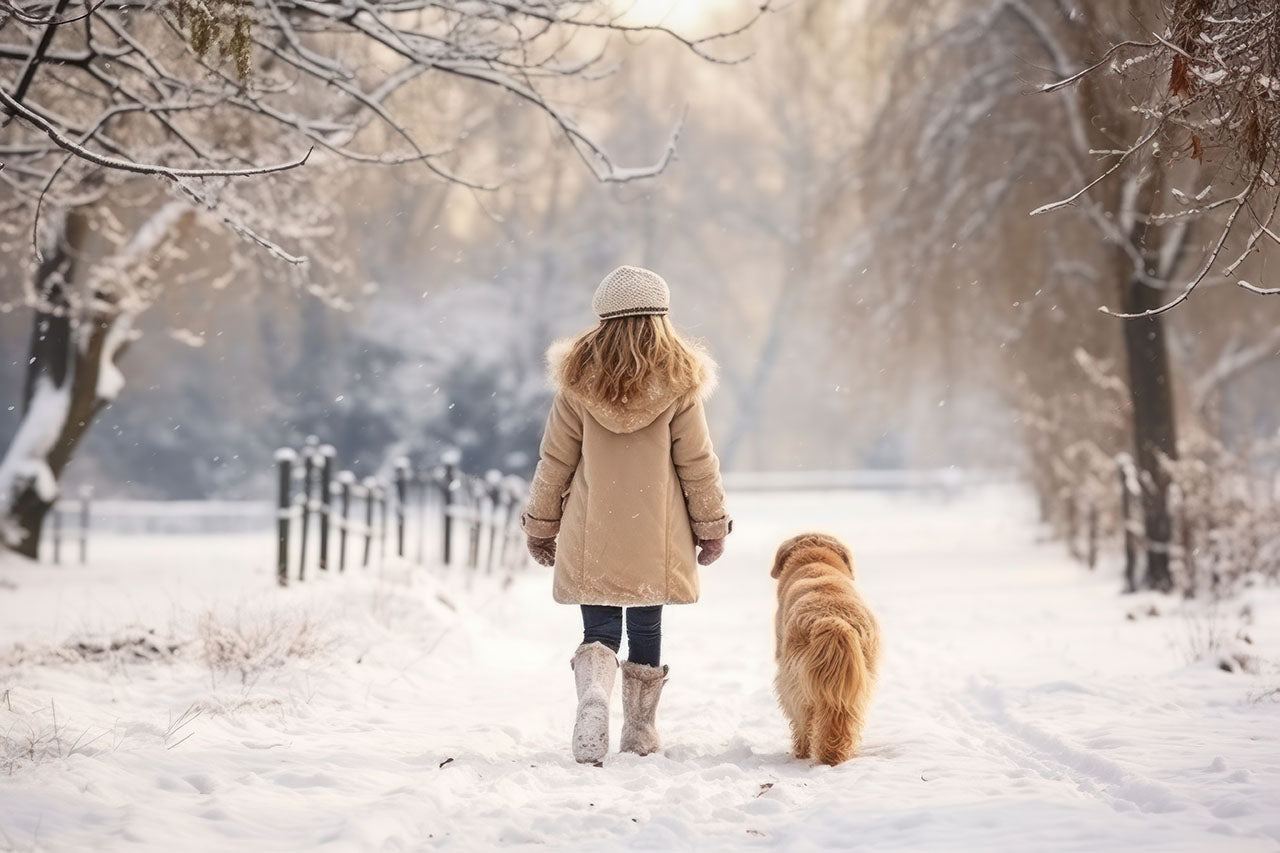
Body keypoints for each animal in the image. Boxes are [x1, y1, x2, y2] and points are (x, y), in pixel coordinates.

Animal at [768, 532, 880, 763]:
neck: (816, 560)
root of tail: (834, 620)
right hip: (859, 681)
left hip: (793, 683)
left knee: (803, 720)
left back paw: (803, 752)